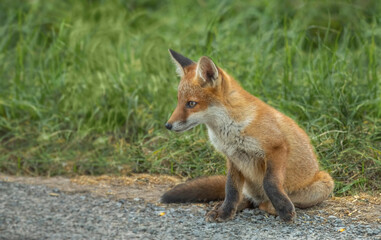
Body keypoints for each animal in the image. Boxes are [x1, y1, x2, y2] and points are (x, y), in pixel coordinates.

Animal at [160, 49, 332, 223]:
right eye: (179, 102)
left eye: (191, 104)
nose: (168, 125)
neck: (230, 131)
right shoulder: (233, 158)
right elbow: (231, 190)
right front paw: (225, 212)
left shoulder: (277, 147)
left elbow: (269, 182)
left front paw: (284, 209)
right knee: (246, 199)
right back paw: (226, 207)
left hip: (324, 183)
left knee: (265, 203)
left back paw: (272, 206)